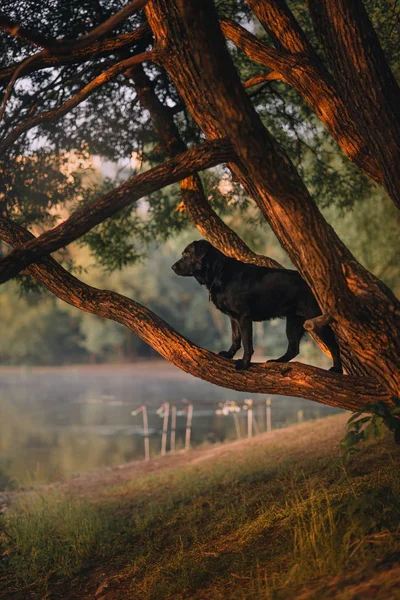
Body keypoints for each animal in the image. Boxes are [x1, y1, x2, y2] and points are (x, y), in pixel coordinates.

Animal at [170, 240, 342, 372]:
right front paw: (229, 355)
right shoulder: (233, 318)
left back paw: (337, 369)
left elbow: (247, 344)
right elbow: (235, 339)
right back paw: (277, 361)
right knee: (293, 348)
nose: (172, 267)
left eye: (186, 255)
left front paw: (244, 363)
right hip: (293, 322)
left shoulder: (244, 317)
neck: (219, 272)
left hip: (316, 320)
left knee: (334, 345)